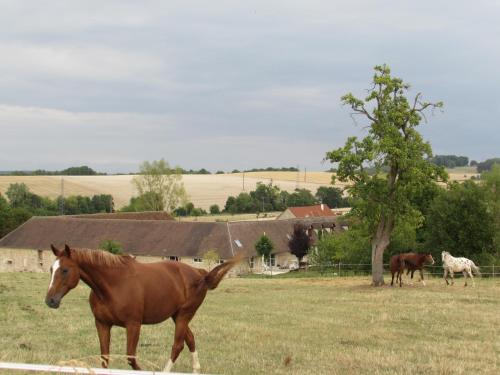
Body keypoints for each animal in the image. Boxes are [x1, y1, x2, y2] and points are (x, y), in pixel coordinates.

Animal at [46, 247, 241, 374]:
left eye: (65, 270)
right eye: (51, 269)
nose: (50, 300)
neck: (113, 284)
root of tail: (200, 273)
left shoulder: (133, 325)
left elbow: (131, 358)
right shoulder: (102, 324)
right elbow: (104, 358)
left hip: (184, 315)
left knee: (177, 346)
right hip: (177, 316)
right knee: (191, 340)